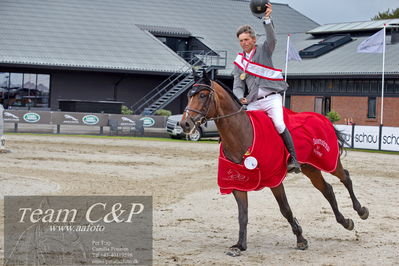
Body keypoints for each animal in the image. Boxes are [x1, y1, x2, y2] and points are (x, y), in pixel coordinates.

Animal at [180, 72, 370, 256]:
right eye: (189, 96)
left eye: (203, 95)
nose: (185, 124)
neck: (242, 135)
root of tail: (321, 118)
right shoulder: (237, 182)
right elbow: (243, 214)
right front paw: (239, 245)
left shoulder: (275, 180)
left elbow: (285, 209)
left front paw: (301, 239)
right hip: (310, 167)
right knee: (327, 189)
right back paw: (345, 222)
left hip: (329, 161)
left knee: (345, 177)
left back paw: (361, 211)